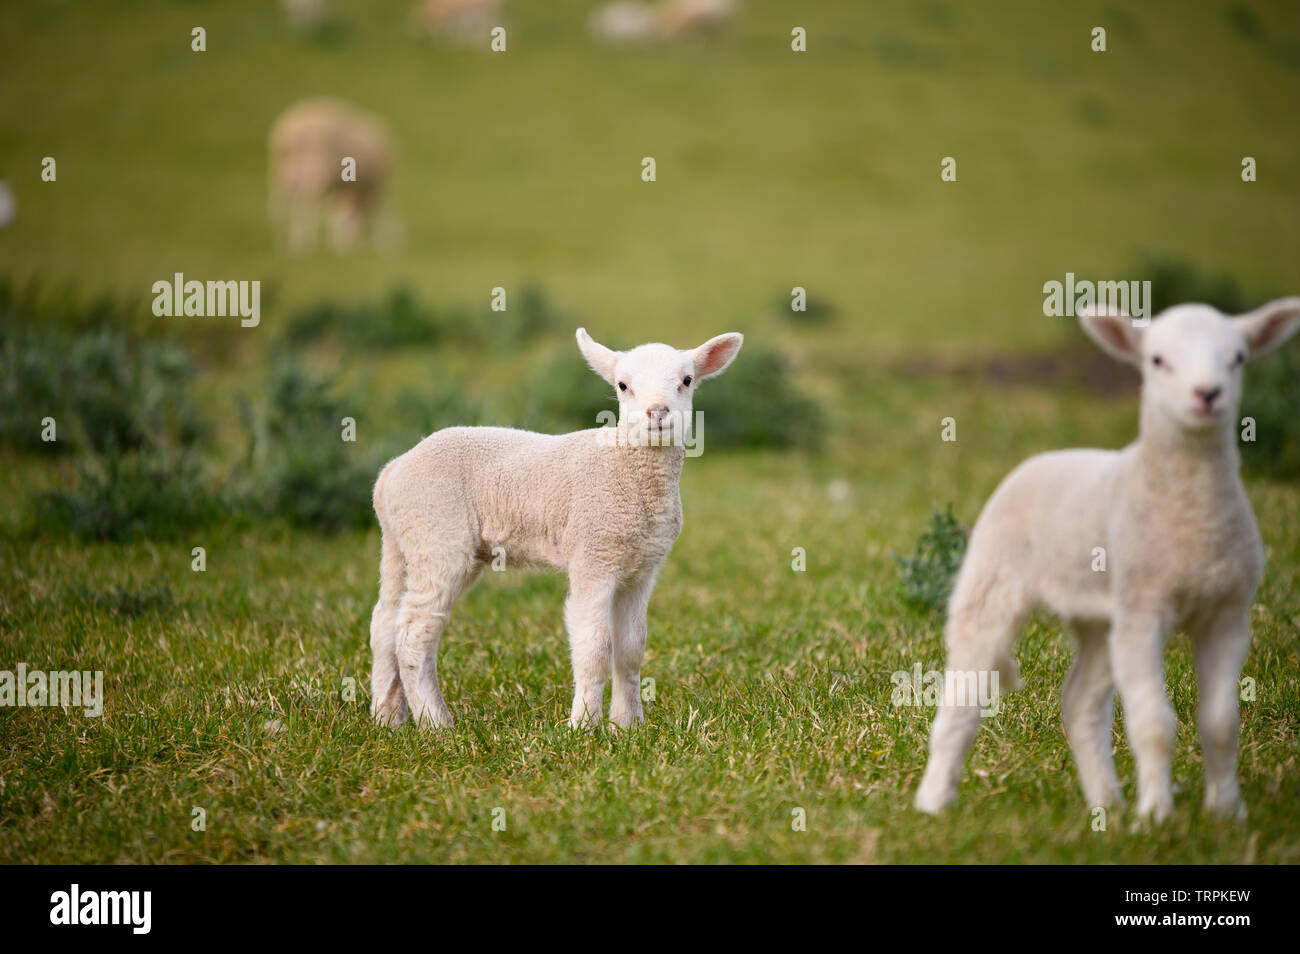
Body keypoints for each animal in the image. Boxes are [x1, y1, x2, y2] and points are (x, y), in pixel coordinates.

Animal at [267, 98, 395, 254]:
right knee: (305, 203)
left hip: (284, 172)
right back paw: (302, 242)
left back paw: (281, 237)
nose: (355, 246)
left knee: (279, 202)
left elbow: (335, 214)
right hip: (315, 169)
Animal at [368, 327, 744, 730]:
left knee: (385, 621)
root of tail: (392, 471)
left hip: (402, 542)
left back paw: (387, 718)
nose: (657, 413)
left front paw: (627, 726)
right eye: (623, 385)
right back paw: (436, 723)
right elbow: (595, 649)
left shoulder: (642, 569)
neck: (625, 467)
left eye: (686, 380)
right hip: (437, 536)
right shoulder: (593, 556)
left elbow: (631, 649)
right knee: (413, 633)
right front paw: (584, 726)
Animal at [914, 297, 1300, 822]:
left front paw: (1226, 815)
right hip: (992, 583)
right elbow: (1153, 723)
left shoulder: (1227, 615)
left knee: (1079, 702)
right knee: (964, 695)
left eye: (1238, 358)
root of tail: (1044, 457)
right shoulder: (1142, 611)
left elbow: (1221, 723)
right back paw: (934, 801)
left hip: (1099, 619)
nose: (1207, 394)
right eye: (1157, 360)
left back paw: (1107, 805)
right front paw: (1157, 818)